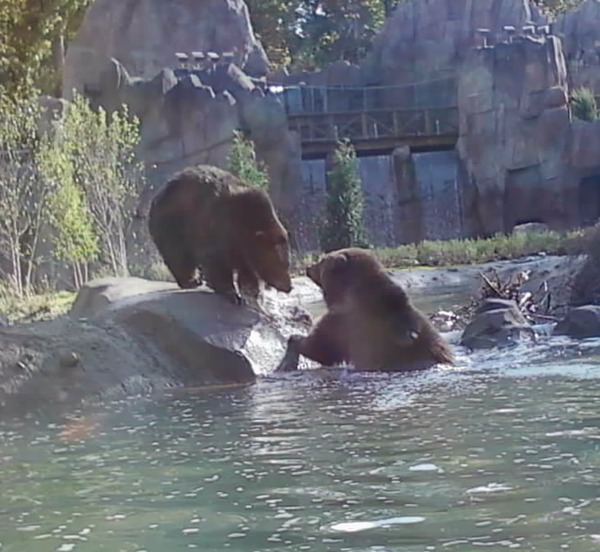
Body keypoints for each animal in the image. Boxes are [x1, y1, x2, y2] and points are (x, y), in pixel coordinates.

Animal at [149, 163, 292, 306]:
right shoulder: (219, 227)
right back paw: (192, 280)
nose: (289, 286)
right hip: (172, 222)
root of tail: (158, 194)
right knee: (178, 253)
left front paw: (253, 293)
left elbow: (247, 270)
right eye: (278, 264)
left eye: (287, 263)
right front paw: (233, 294)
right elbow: (216, 262)